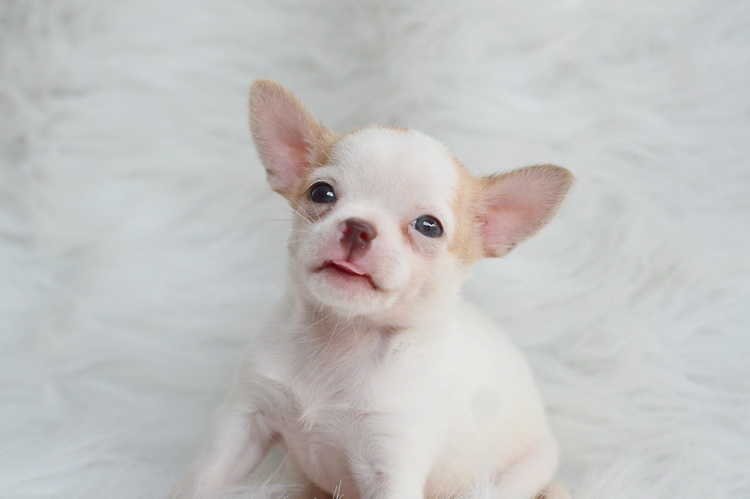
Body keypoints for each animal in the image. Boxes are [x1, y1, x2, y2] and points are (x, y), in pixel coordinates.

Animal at [171, 80, 573, 499]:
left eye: (429, 226)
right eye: (322, 193)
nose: (358, 227)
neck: (343, 339)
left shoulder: (391, 465)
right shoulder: (244, 420)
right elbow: (202, 480)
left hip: (509, 480)